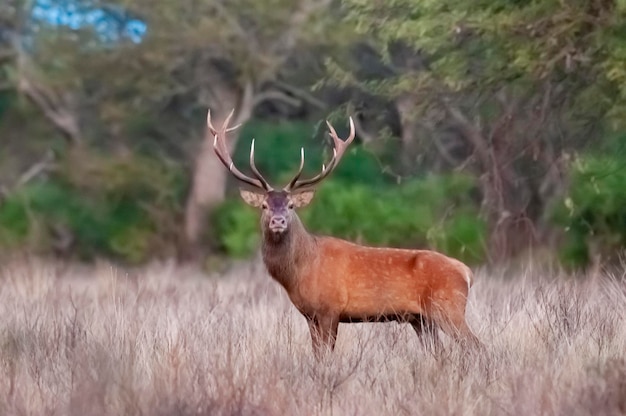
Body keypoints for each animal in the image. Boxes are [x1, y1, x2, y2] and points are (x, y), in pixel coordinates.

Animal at [208, 108, 478, 358]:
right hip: (420, 319)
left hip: (449, 307)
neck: (301, 270)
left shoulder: (330, 309)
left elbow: (326, 356)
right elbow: (317, 356)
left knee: (476, 347)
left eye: (291, 205)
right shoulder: (310, 315)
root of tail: (466, 272)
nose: (278, 220)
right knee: (440, 353)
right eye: (264, 205)